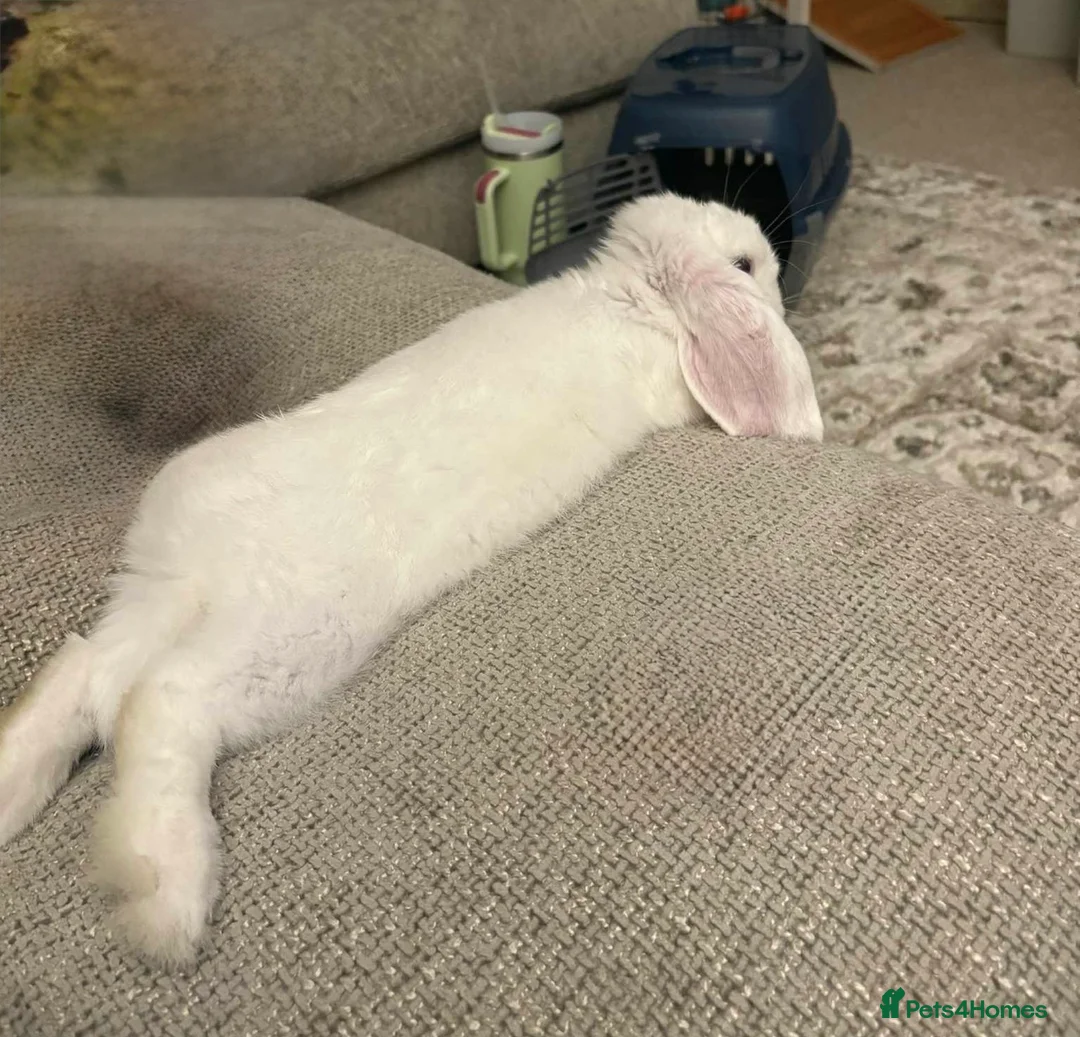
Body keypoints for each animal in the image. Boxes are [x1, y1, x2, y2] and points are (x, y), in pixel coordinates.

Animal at [0, 193, 823, 966]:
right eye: (745, 265)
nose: (776, 263)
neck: (630, 298)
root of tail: (198, 563)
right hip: (287, 646)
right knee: (158, 700)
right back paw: (167, 900)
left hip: (154, 602)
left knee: (87, 674)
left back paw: (13, 794)